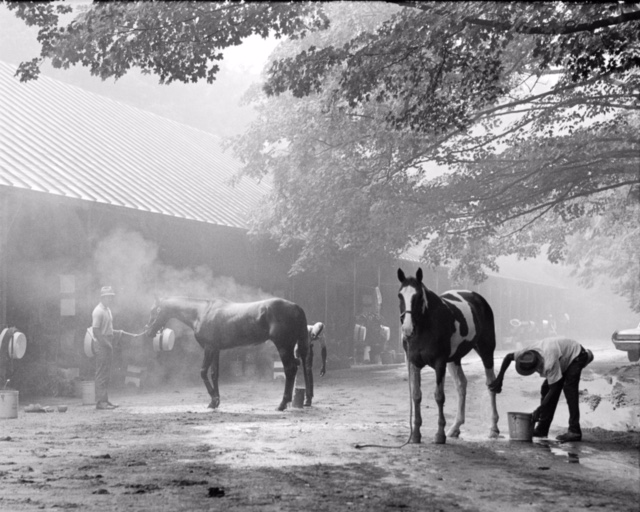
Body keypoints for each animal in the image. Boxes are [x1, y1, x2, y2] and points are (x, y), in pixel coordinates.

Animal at [148, 296, 312, 412]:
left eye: (154, 311)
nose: (148, 332)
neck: (202, 312)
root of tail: (296, 307)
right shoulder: (216, 349)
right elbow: (214, 374)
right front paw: (215, 401)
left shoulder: (209, 348)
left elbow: (203, 372)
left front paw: (213, 399)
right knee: (301, 366)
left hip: (283, 346)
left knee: (290, 369)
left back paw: (282, 404)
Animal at [396, 268, 500, 444]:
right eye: (400, 295)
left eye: (418, 295)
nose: (407, 329)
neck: (426, 327)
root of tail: (478, 298)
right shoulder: (413, 363)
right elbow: (416, 395)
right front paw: (416, 435)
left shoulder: (440, 363)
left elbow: (439, 396)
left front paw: (439, 435)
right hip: (454, 359)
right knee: (461, 384)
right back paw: (455, 427)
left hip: (486, 350)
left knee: (491, 384)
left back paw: (493, 429)